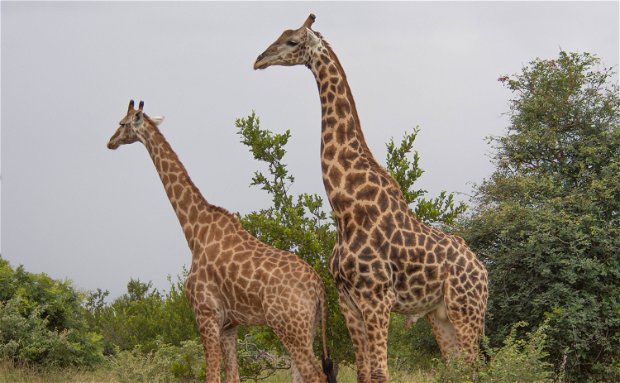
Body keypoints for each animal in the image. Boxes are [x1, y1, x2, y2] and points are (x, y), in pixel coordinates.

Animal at [108, 100, 336, 383]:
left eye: (122, 123)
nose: (110, 142)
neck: (194, 231)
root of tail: (319, 289)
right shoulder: (229, 324)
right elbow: (233, 377)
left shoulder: (205, 314)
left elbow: (212, 376)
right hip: (308, 328)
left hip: (289, 326)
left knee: (316, 375)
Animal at [254, 13, 486, 382]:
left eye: (292, 41)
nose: (259, 59)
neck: (345, 208)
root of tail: (483, 270)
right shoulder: (348, 301)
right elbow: (364, 372)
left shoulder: (377, 299)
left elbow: (380, 373)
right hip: (439, 313)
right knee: (458, 369)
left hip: (467, 309)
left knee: (475, 368)